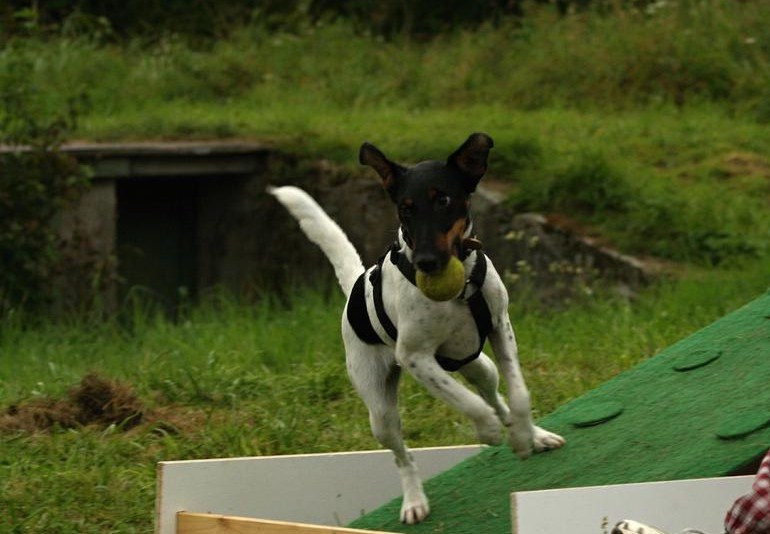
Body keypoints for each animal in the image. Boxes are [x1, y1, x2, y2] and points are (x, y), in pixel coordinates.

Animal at [268, 132, 560, 524]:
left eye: (444, 200)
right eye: (405, 209)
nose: (426, 263)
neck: (461, 286)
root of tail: (355, 286)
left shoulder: (500, 327)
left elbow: (519, 395)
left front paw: (526, 434)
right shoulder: (415, 357)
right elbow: (468, 404)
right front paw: (486, 430)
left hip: (479, 365)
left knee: (495, 395)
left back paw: (527, 434)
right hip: (380, 412)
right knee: (403, 456)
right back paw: (414, 500)